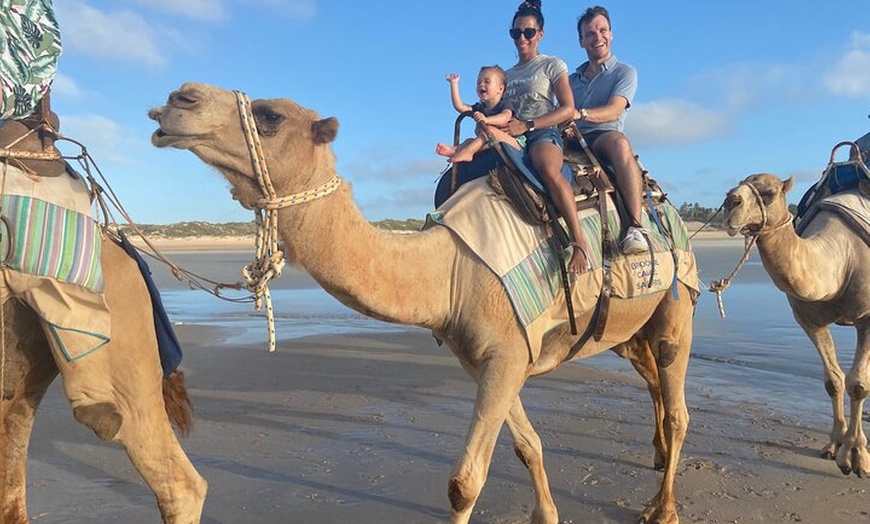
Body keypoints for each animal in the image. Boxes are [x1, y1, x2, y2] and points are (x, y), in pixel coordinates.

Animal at [146, 83, 700, 524]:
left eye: (271, 116)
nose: (178, 98)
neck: (448, 271)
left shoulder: (505, 355)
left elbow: (464, 482)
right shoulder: (491, 358)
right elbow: (527, 445)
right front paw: (547, 514)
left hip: (677, 304)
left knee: (677, 405)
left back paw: (663, 507)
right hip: (627, 328)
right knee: (651, 377)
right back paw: (655, 459)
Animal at [724, 174, 868, 476]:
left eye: (768, 192)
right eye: (734, 187)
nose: (731, 202)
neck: (843, 258)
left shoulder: (867, 318)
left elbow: (859, 384)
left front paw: (856, 458)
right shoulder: (808, 318)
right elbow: (834, 380)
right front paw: (833, 446)